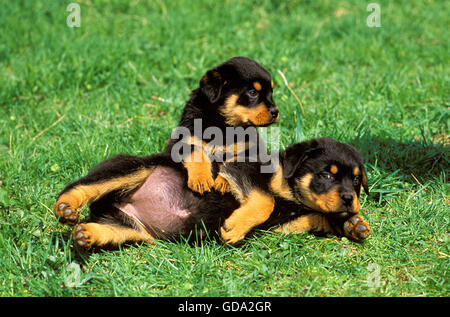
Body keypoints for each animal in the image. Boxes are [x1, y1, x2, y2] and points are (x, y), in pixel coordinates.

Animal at [56, 137, 370, 248]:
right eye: (326, 174)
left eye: (356, 180)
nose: (349, 199)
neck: (291, 195)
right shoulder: (239, 169)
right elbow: (265, 200)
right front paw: (234, 228)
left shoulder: (285, 224)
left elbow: (317, 218)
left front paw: (353, 225)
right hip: (132, 168)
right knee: (81, 185)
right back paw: (66, 207)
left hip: (132, 230)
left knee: (110, 230)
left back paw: (87, 235)